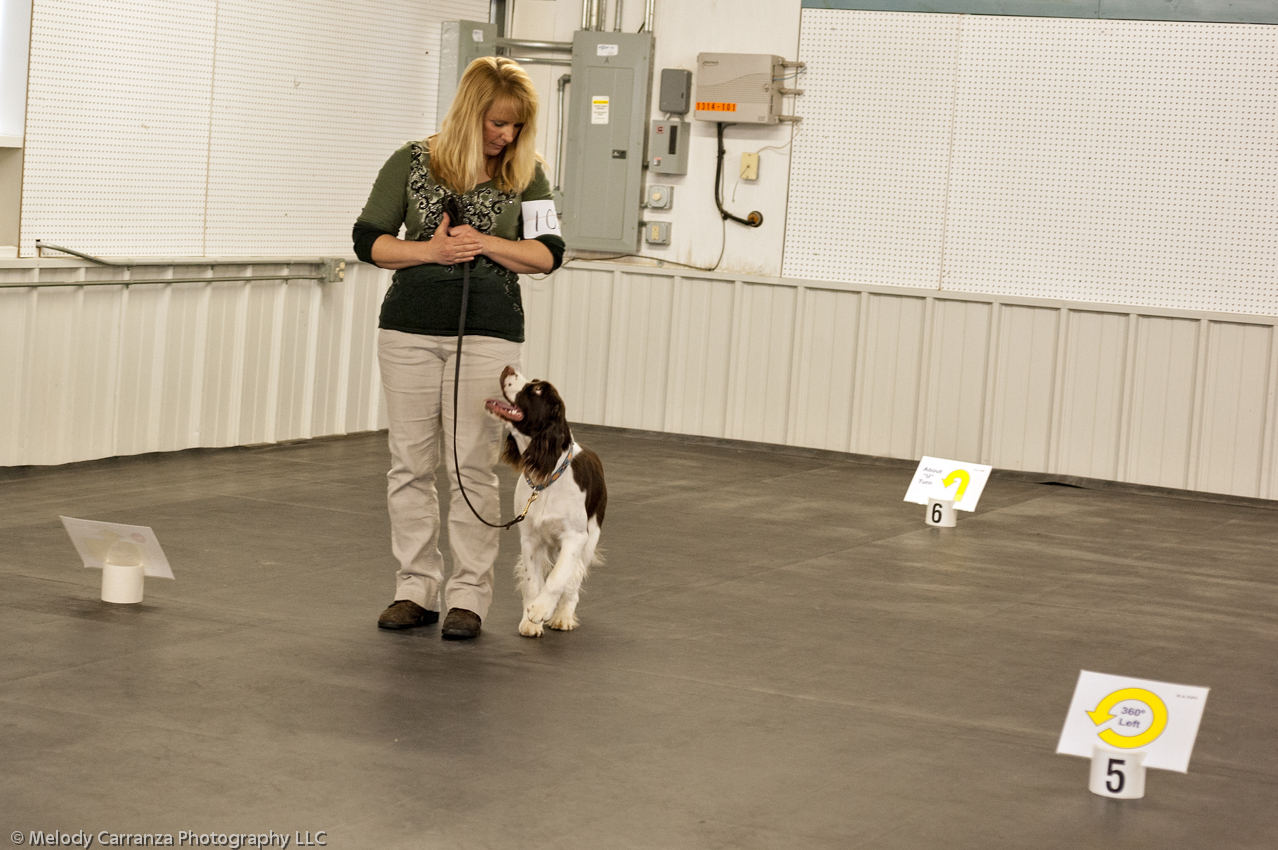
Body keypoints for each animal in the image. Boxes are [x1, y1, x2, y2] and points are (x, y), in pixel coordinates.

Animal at [488, 365, 608, 636]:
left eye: (538, 390)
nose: (508, 368)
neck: (546, 475)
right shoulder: (530, 537)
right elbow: (533, 581)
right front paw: (530, 620)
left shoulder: (576, 537)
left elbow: (558, 577)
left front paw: (542, 610)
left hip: (591, 537)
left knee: (573, 581)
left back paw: (563, 616)